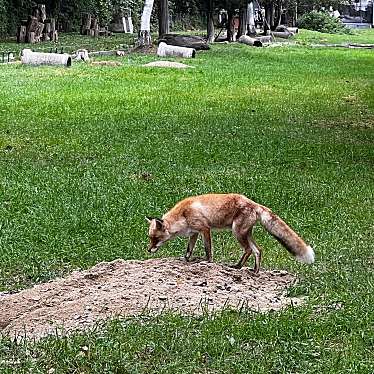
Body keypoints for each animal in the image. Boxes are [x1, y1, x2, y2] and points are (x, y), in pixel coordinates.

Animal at [145, 194, 314, 274]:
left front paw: (207, 262)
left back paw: (238, 267)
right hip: (245, 234)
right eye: (150, 238)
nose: (148, 250)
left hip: (237, 232)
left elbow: (208, 250)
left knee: (248, 250)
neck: (183, 215)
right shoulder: (194, 233)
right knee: (258, 250)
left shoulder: (205, 229)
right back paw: (254, 271)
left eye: (155, 238)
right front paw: (186, 260)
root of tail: (254, 204)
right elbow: (188, 250)